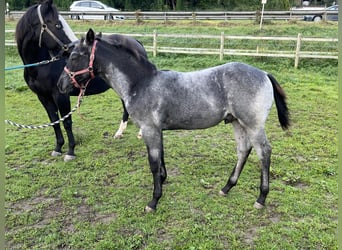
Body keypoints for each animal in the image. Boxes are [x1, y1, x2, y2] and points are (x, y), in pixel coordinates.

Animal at [15, 0, 146, 160]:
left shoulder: (61, 95)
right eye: (57, 25)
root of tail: (136, 42)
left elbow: (67, 122)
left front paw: (70, 151)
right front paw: (58, 148)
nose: (72, 49)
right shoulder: (43, 97)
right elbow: (54, 122)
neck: (42, 65)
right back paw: (119, 133)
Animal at [58, 29, 288, 212]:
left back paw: (261, 198)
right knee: (243, 150)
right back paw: (226, 187)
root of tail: (264, 73)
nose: (61, 85)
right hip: (236, 122)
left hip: (253, 124)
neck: (140, 83)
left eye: (75, 56)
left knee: (264, 152)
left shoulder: (149, 129)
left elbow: (153, 162)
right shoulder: (156, 130)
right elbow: (160, 158)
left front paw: (153, 201)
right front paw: (163, 181)